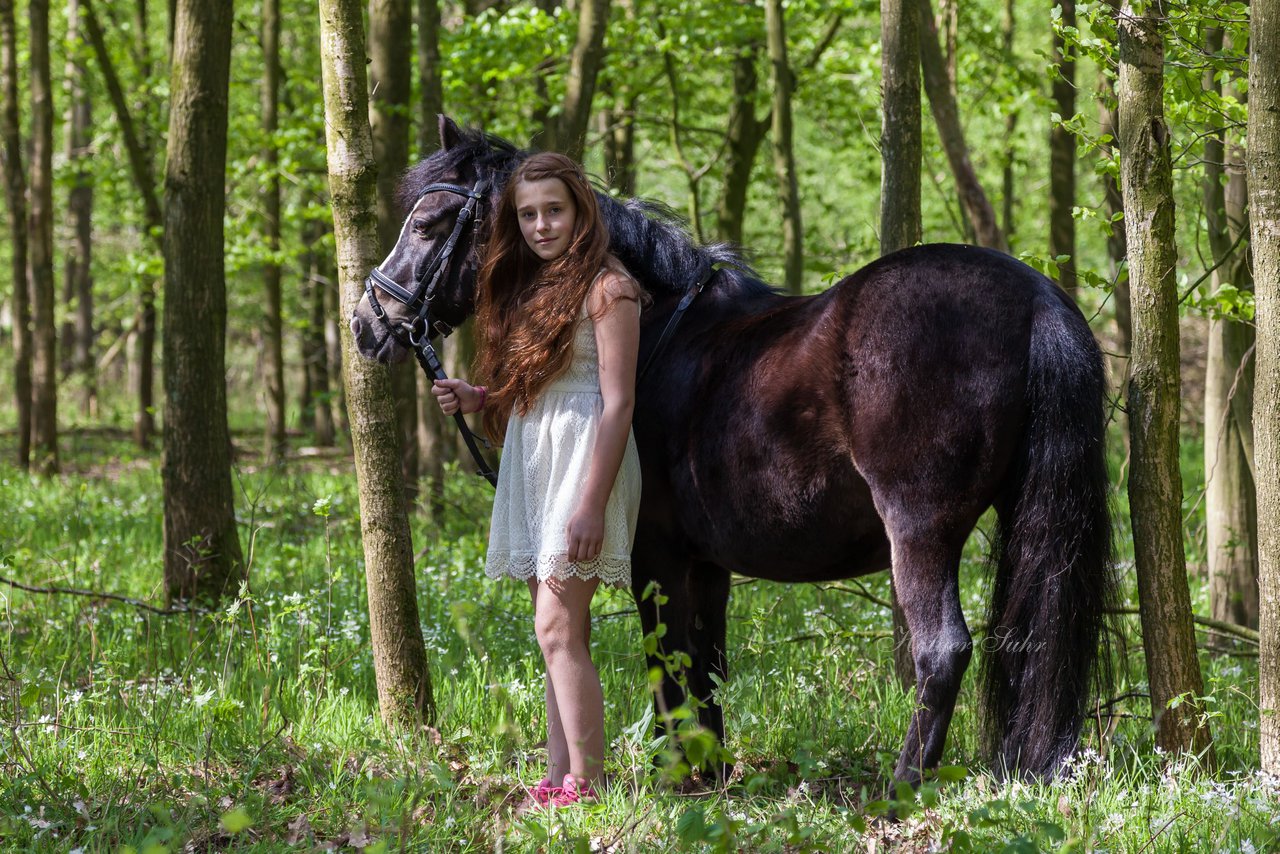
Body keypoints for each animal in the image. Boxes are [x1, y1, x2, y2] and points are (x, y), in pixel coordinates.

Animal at [348, 117, 1111, 783]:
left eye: (427, 223)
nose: (366, 323)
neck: (658, 334)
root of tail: (1036, 298)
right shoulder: (707, 559)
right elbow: (707, 664)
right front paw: (710, 773)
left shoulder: (655, 551)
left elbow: (667, 660)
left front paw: (673, 775)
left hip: (920, 530)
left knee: (942, 652)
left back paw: (901, 787)